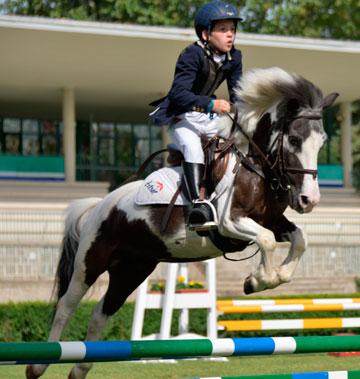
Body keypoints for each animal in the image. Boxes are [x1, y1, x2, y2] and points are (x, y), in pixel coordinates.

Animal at [27, 68, 338, 379]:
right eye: (294, 140)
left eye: (322, 142)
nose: (309, 200)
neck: (254, 168)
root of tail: (100, 204)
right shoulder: (230, 222)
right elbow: (267, 241)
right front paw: (258, 280)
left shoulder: (272, 221)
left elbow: (299, 239)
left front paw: (271, 277)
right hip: (91, 261)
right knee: (66, 305)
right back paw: (38, 364)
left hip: (132, 269)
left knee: (101, 311)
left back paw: (80, 369)